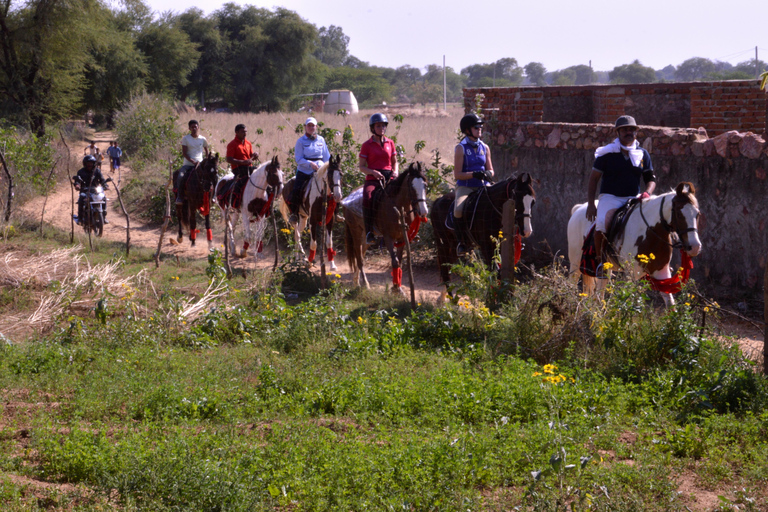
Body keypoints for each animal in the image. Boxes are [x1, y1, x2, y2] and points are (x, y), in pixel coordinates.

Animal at [344, 162, 428, 294]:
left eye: (425, 185)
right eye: (412, 187)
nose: (423, 211)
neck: (398, 208)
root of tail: (347, 197)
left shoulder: (402, 238)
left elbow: (399, 262)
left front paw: (398, 288)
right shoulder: (389, 238)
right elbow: (395, 262)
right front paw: (396, 289)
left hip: (365, 236)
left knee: (361, 254)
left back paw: (356, 282)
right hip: (355, 231)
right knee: (359, 257)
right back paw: (365, 284)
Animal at [432, 174, 536, 302]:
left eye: (533, 202)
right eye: (517, 200)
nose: (527, 231)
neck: (493, 208)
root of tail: (437, 201)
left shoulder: (499, 246)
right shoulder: (486, 247)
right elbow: (495, 272)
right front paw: (499, 298)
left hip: (454, 246)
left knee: (447, 265)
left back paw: (442, 299)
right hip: (444, 243)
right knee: (444, 267)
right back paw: (451, 302)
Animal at [564, 182, 704, 306]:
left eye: (697, 214)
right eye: (679, 214)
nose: (695, 247)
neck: (650, 233)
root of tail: (579, 209)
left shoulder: (662, 272)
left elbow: (670, 305)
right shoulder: (631, 274)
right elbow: (625, 301)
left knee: (600, 290)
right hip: (575, 263)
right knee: (573, 283)